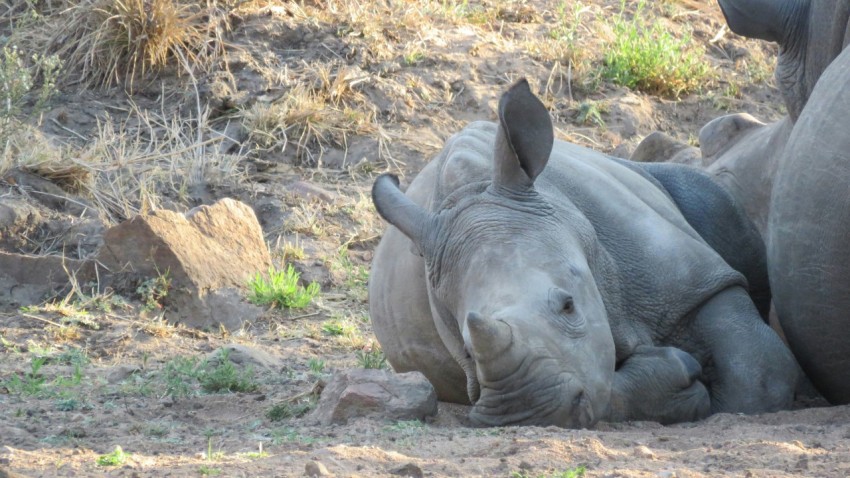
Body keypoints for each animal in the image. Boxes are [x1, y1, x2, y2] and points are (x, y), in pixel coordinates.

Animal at [366, 80, 796, 428]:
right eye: (467, 353)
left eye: (569, 306)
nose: (528, 411)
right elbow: (602, 387)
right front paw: (681, 382)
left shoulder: (695, 282)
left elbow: (759, 376)